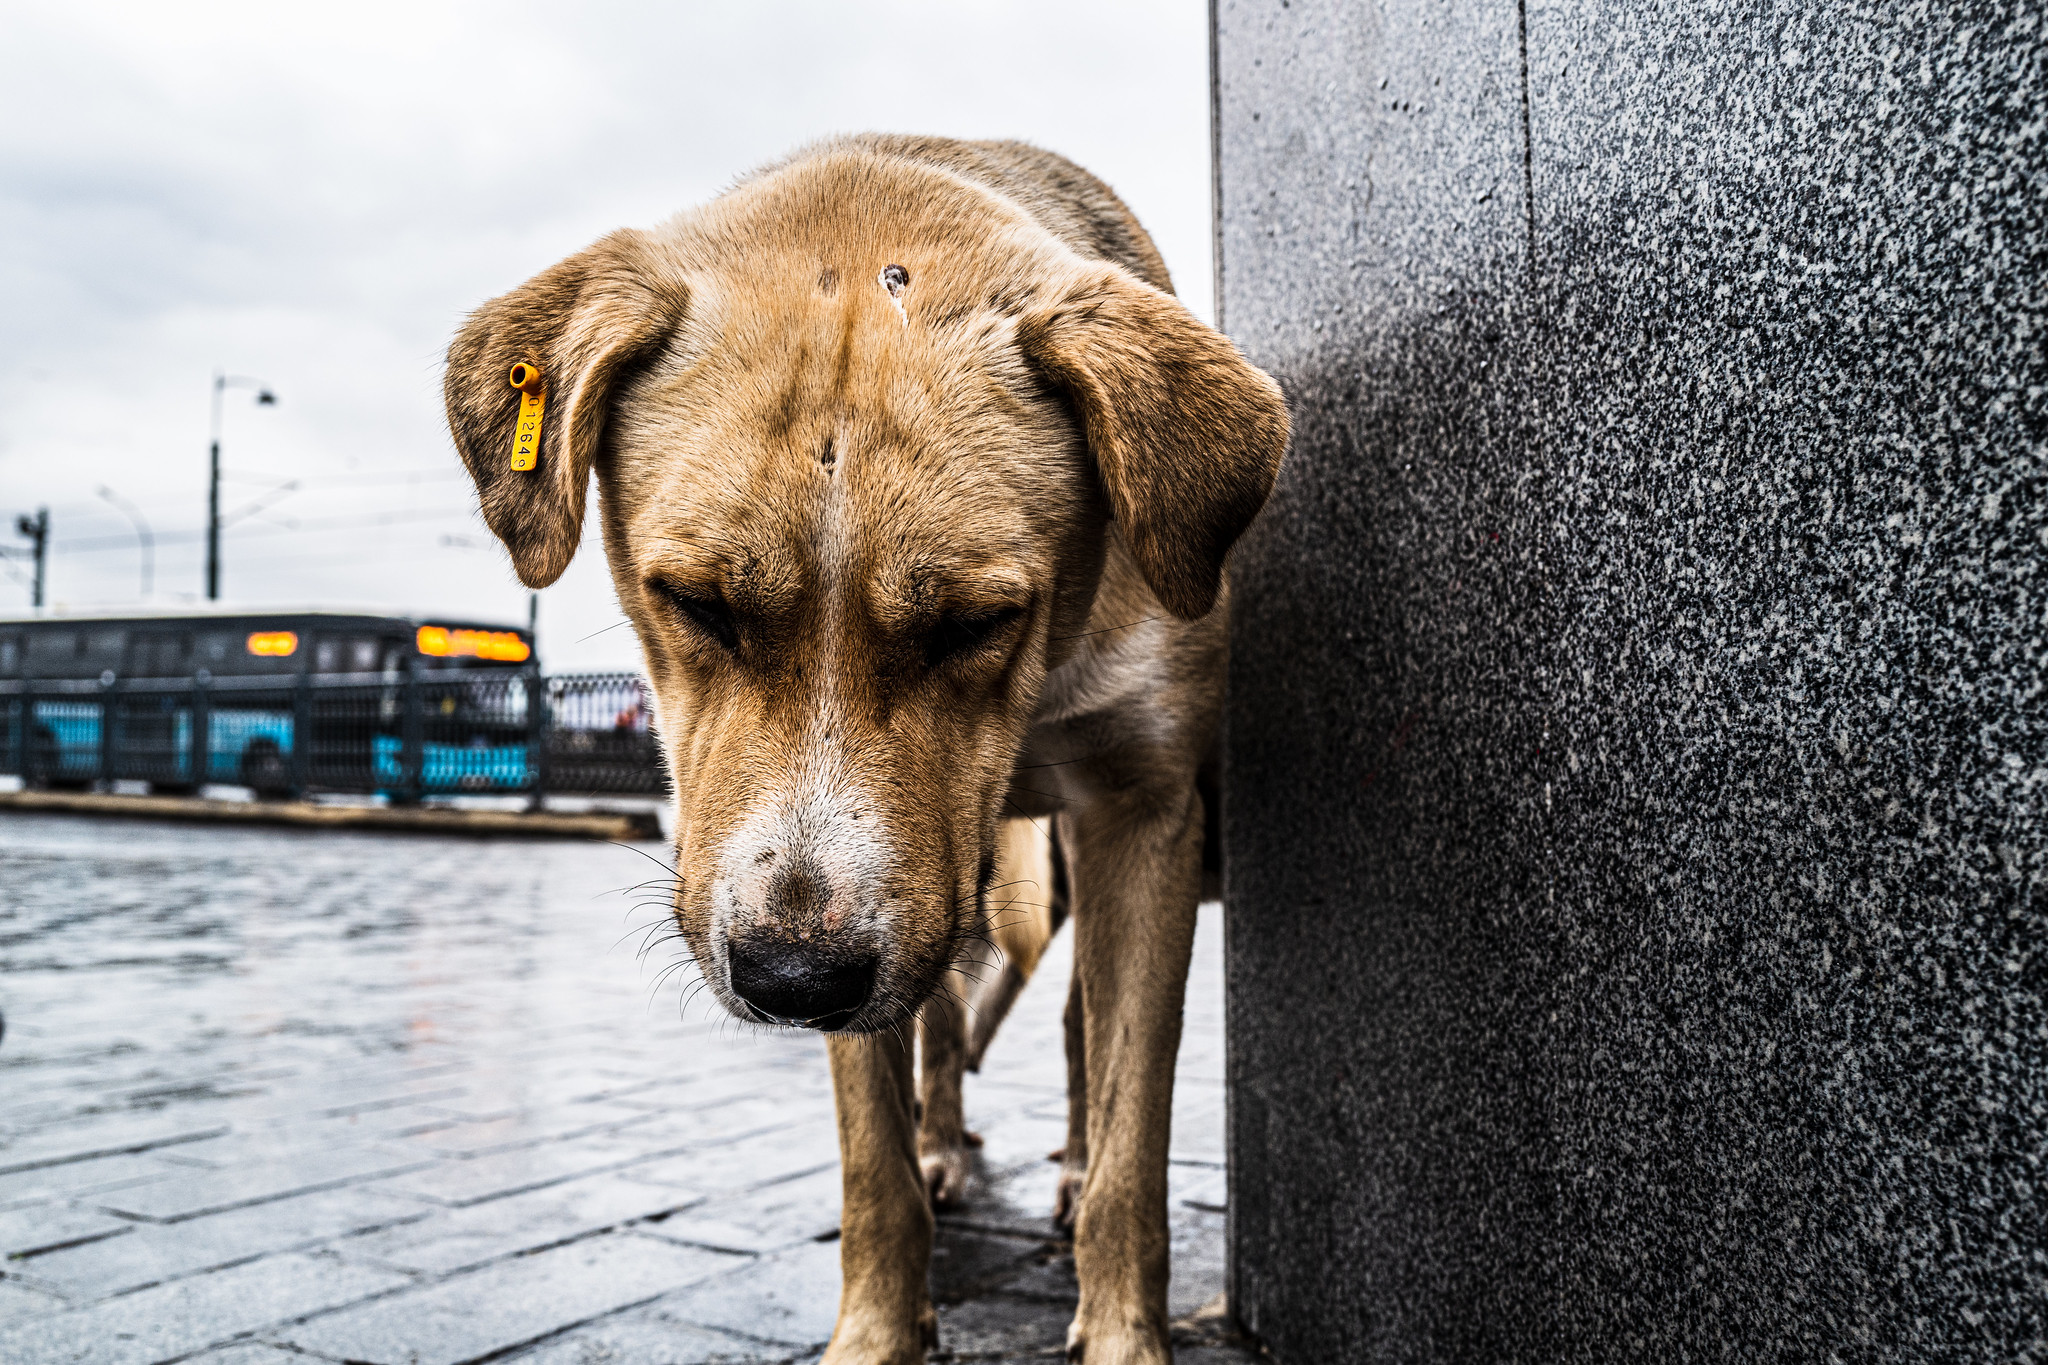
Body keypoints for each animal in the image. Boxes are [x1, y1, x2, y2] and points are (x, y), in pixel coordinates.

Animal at [444, 136, 1277, 1365]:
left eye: (975, 622)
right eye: (695, 602)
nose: (793, 981)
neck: (1040, 681)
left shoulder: (1142, 810)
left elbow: (1135, 1127)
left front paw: (1123, 1328)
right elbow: (869, 1156)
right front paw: (878, 1328)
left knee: (1071, 1030)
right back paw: (942, 1143)